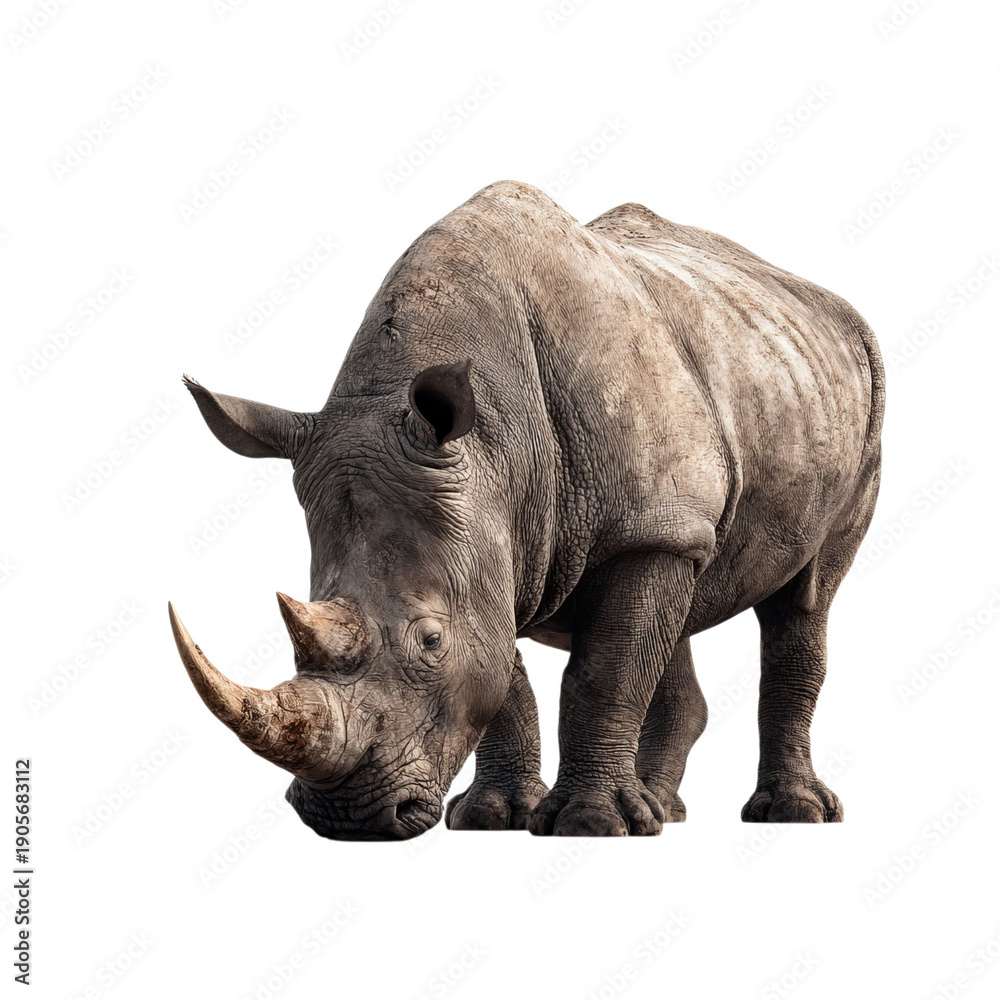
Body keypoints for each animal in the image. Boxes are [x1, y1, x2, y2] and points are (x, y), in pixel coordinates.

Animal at [169, 180, 883, 840]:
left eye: (430, 640)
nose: (345, 818)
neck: (496, 445)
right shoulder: (494, 529)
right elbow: (504, 675)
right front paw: (495, 817)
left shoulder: (629, 528)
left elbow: (603, 674)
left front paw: (590, 825)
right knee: (679, 604)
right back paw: (662, 811)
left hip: (851, 397)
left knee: (805, 598)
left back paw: (790, 814)